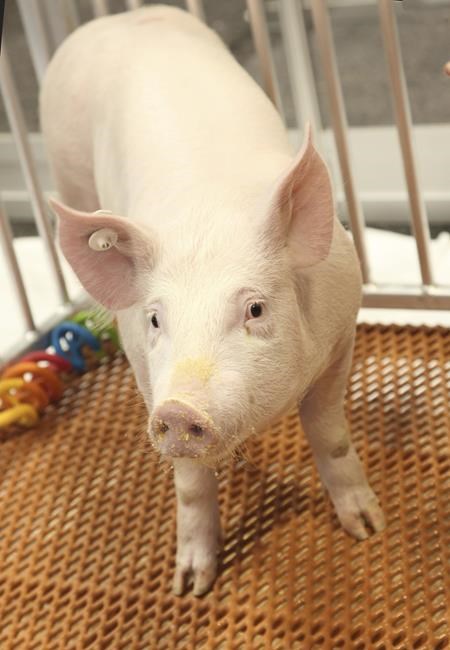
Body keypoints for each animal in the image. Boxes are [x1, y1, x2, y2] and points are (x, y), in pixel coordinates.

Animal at [40, 5, 385, 596]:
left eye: (255, 309)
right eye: (156, 319)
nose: (179, 410)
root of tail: (122, 17)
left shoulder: (343, 331)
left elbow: (329, 433)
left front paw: (368, 529)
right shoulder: (143, 371)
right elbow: (190, 481)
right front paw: (191, 587)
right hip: (68, 166)